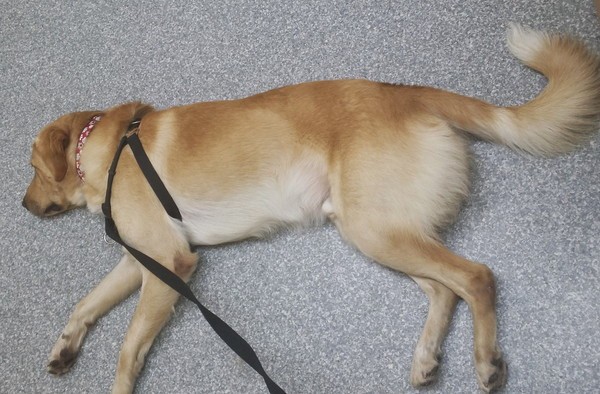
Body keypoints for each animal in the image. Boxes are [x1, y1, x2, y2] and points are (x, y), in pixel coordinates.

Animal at [23, 25, 600, 394]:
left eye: (31, 168)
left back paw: (487, 363)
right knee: (444, 288)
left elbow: (127, 350)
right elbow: (85, 305)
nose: (23, 206)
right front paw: (65, 347)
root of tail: (406, 94)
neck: (108, 150)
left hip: (374, 228)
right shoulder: (139, 261)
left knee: (476, 276)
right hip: (382, 230)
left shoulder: (168, 262)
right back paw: (426, 359)